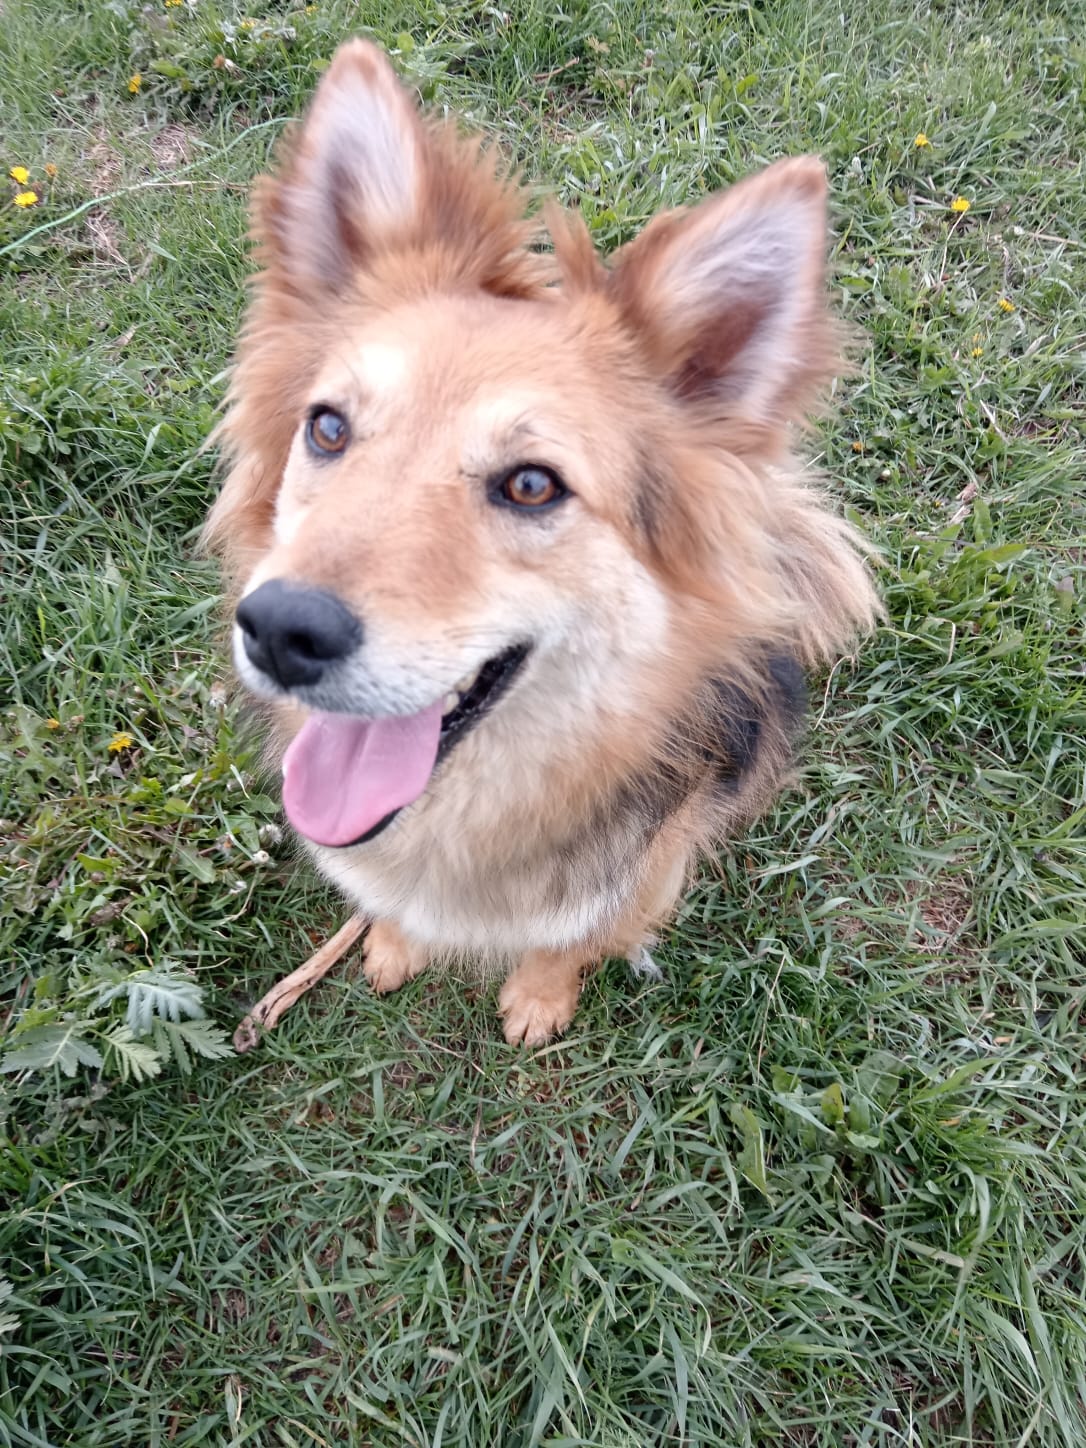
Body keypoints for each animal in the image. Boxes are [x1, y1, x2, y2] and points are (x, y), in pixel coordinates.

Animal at [205, 40, 879, 1045]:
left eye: (532, 485)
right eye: (326, 428)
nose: (282, 630)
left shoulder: (645, 875)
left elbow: (572, 940)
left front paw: (537, 999)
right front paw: (394, 941)